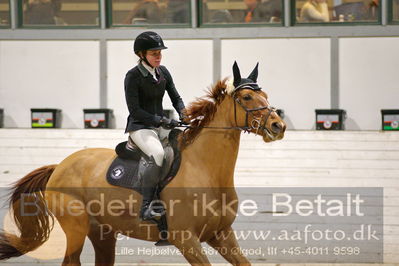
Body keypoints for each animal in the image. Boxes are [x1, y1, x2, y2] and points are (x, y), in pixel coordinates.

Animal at [0, 62, 286, 266]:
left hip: (103, 234)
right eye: (246, 98)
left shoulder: (222, 234)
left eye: (265, 94)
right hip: (76, 229)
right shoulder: (186, 240)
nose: (278, 126)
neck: (206, 170)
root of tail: (58, 167)